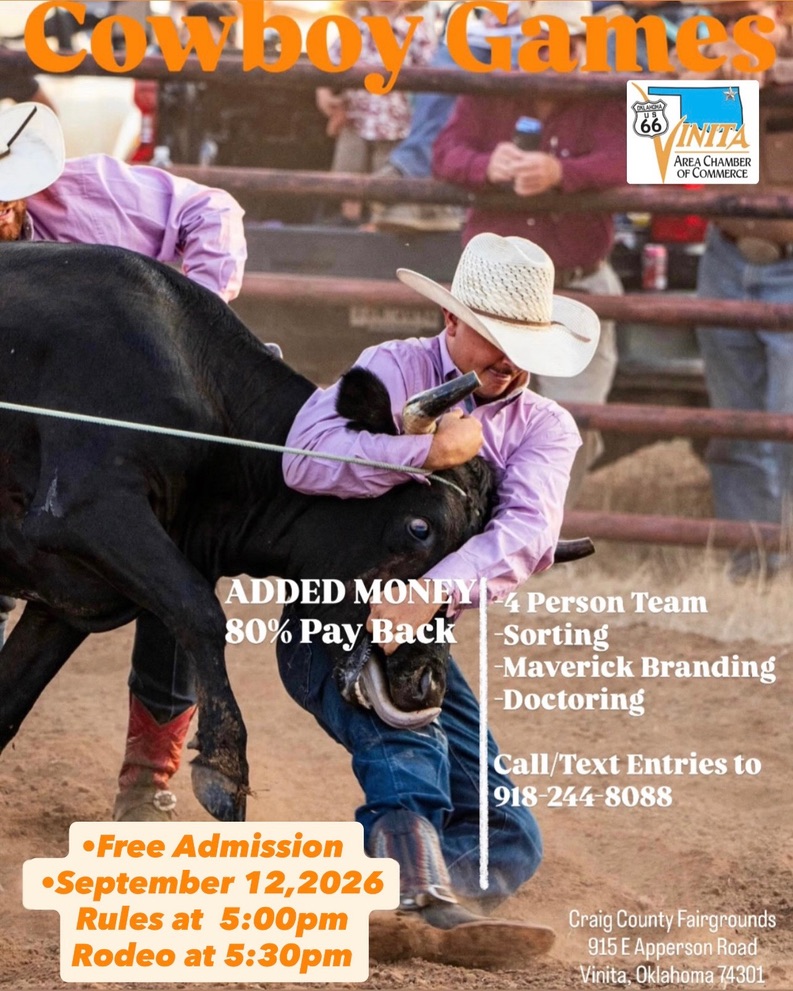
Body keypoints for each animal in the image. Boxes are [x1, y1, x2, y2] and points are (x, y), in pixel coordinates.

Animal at [0, 242, 591, 822]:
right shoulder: (86, 506)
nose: (426, 687)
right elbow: (200, 611)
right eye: (420, 526)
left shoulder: (68, 602)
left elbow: (11, 701)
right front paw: (225, 767)